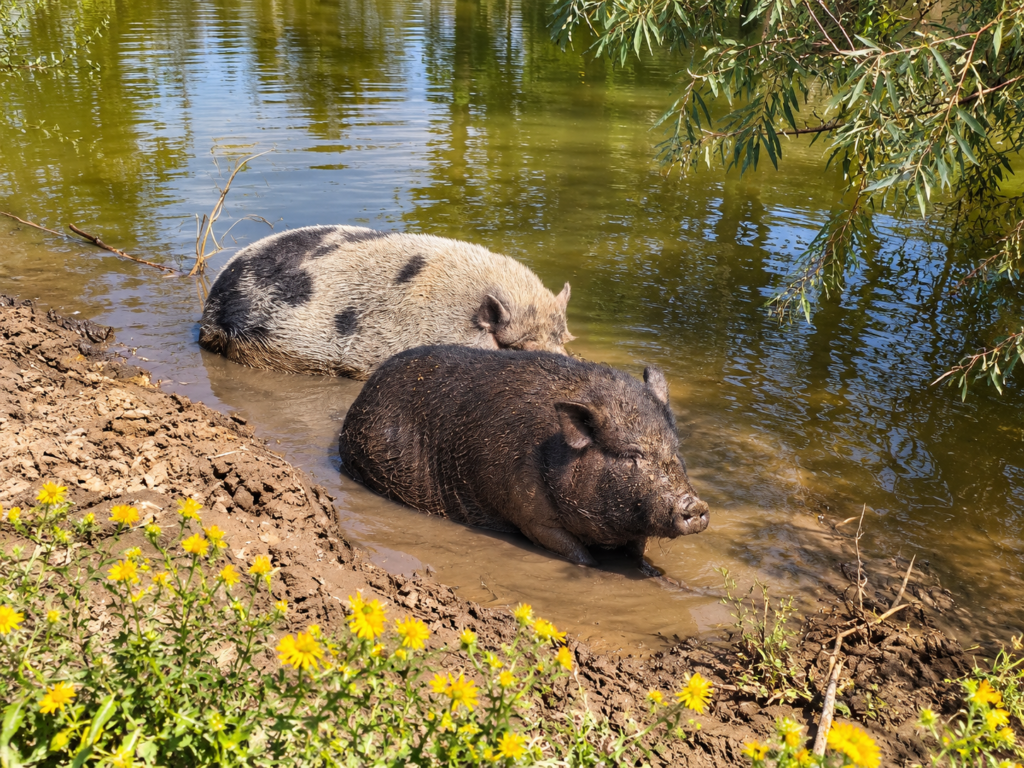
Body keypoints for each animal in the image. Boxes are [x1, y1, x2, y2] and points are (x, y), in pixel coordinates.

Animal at [338, 346, 710, 566]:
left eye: (674, 448)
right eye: (632, 454)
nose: (697, 506)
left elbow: (638, 552)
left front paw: (649, 571)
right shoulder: (531, 517)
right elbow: (580, 557)